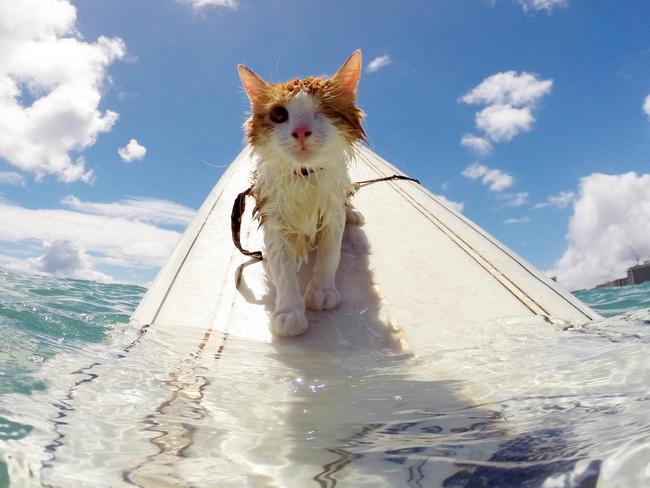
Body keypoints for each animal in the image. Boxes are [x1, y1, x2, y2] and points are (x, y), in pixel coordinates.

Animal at [238, 51, 368, 338]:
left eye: (324, 110)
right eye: (279, 114)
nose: (300, 131)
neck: (305, 176)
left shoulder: (332, 209)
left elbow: (330, 253)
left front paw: (322, 290)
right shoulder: (273, 214)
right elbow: (283, 267)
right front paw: (289, 311)